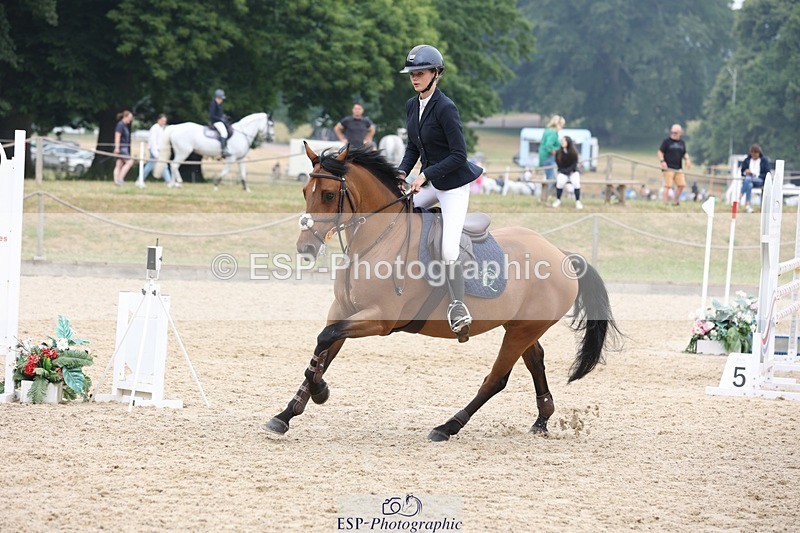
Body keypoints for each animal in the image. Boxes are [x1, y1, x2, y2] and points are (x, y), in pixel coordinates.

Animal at [265, 144, 619, 441]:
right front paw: (287, 413)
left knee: (496, 379)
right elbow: (322, 350)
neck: (376, 240)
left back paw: (448, 426)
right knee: (536, 362)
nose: (305, 248)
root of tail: (561, 254)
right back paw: (542, 420)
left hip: (521, 331)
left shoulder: (379, 320)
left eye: (327, 195)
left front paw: (320, 392)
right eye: (305, 191)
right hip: (521, 326)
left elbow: (325, 340)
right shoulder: (343, 311)